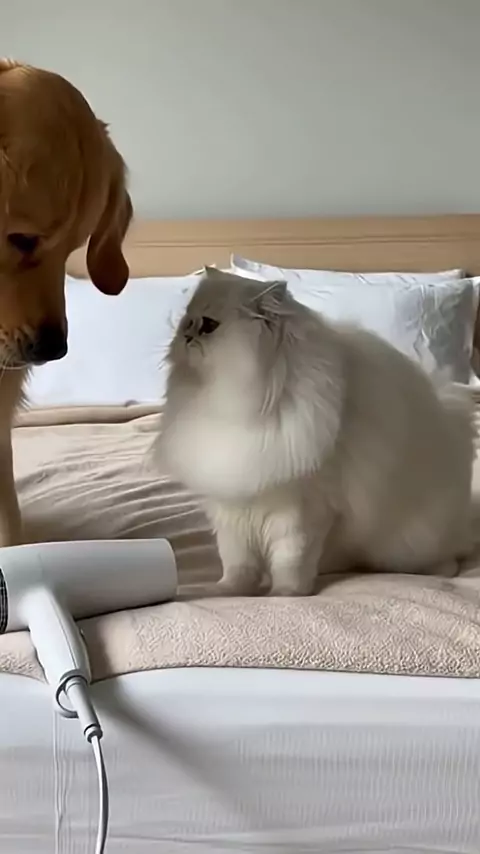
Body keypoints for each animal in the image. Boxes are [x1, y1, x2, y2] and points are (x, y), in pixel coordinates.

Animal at [153, 266, 476, 597]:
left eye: (208, 325)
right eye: (187, 320)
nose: (185, 335)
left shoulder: (300, 511)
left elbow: (290, 562)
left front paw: (284, 595)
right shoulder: (232, 508)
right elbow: (237, 565)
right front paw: (228, 590)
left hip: (405, 547)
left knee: (445, 559)